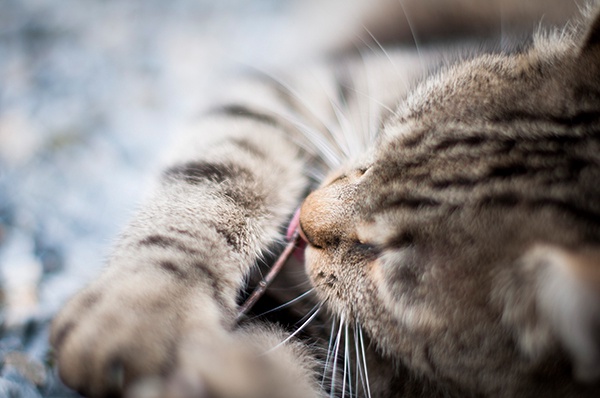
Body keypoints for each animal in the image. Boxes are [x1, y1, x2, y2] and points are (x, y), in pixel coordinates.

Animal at [50, 0, 600, 398]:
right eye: (380, 148)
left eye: (383, 262)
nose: (307, 216)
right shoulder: (311, 89)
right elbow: (215, 179)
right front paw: (142, 308)